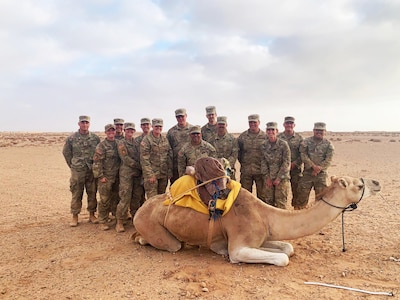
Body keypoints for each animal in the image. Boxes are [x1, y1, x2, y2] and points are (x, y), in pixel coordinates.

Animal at [132, 158, 382, 266]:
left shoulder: (260, 236)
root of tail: (139, 210)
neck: (266, 215)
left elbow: (287, 248)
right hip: (154, 228)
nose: (377, 183)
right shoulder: (240, 247)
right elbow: (282, 258)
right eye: (358, 185)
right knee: (170, 244)